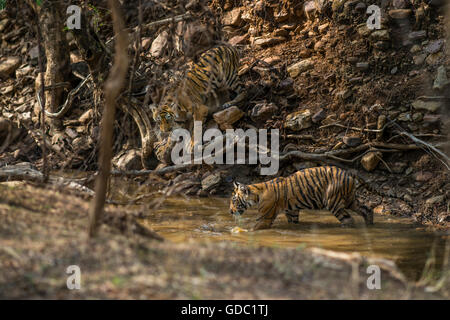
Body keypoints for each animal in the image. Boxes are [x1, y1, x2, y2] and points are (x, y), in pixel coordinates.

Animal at [229, 166, 400, 231]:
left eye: (234, 201)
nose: (230, 212)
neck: (256, 193)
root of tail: (348, 172)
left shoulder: (265, 216)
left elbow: (255, 227)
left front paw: (240, 231)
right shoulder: (292, 212)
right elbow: (293, 222)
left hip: (333, 202)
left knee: (348, 219)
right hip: (351, 200)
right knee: (366, 209)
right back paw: (369, 225)